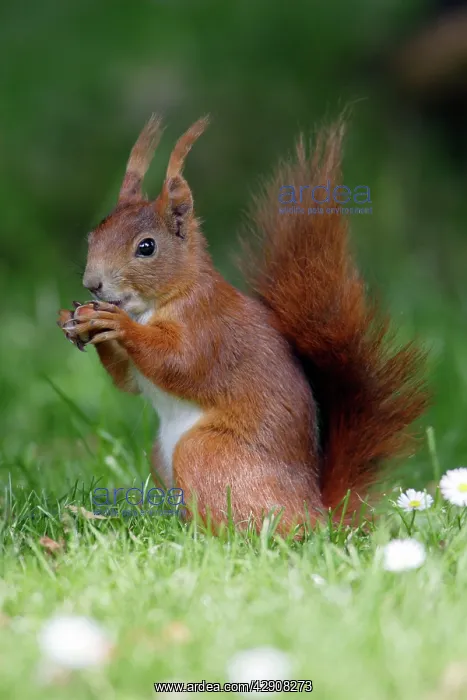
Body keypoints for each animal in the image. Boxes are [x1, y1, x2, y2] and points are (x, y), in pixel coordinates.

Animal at [58, 115, 428, 532]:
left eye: (147, 247)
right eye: (93, 236)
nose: (92, 283)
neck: (164, 299)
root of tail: (315, 514)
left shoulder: (207, 327)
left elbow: (180, 363)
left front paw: (118, 324)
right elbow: (129, 382)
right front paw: (77, 320)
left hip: (207, 453)